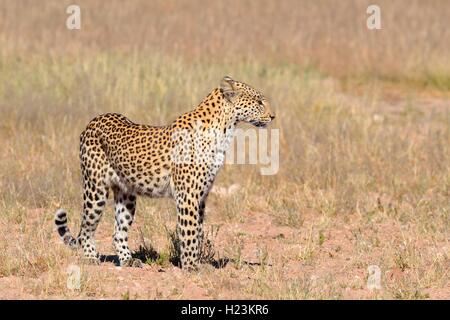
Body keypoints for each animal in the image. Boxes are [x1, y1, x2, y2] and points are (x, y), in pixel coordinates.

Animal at [54, 75, 276, 270]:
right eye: (259, 101)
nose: (273, 116)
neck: (224, 129)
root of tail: (95, 120)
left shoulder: (202, 195)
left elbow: (198, 232)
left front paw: (197, 263)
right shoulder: (188, 195)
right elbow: (189, 231)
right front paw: (191, 267)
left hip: (126, 194)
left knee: (118, 231)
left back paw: (128, 260)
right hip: (96, 189)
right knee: (86, 228)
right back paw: (91, 258)